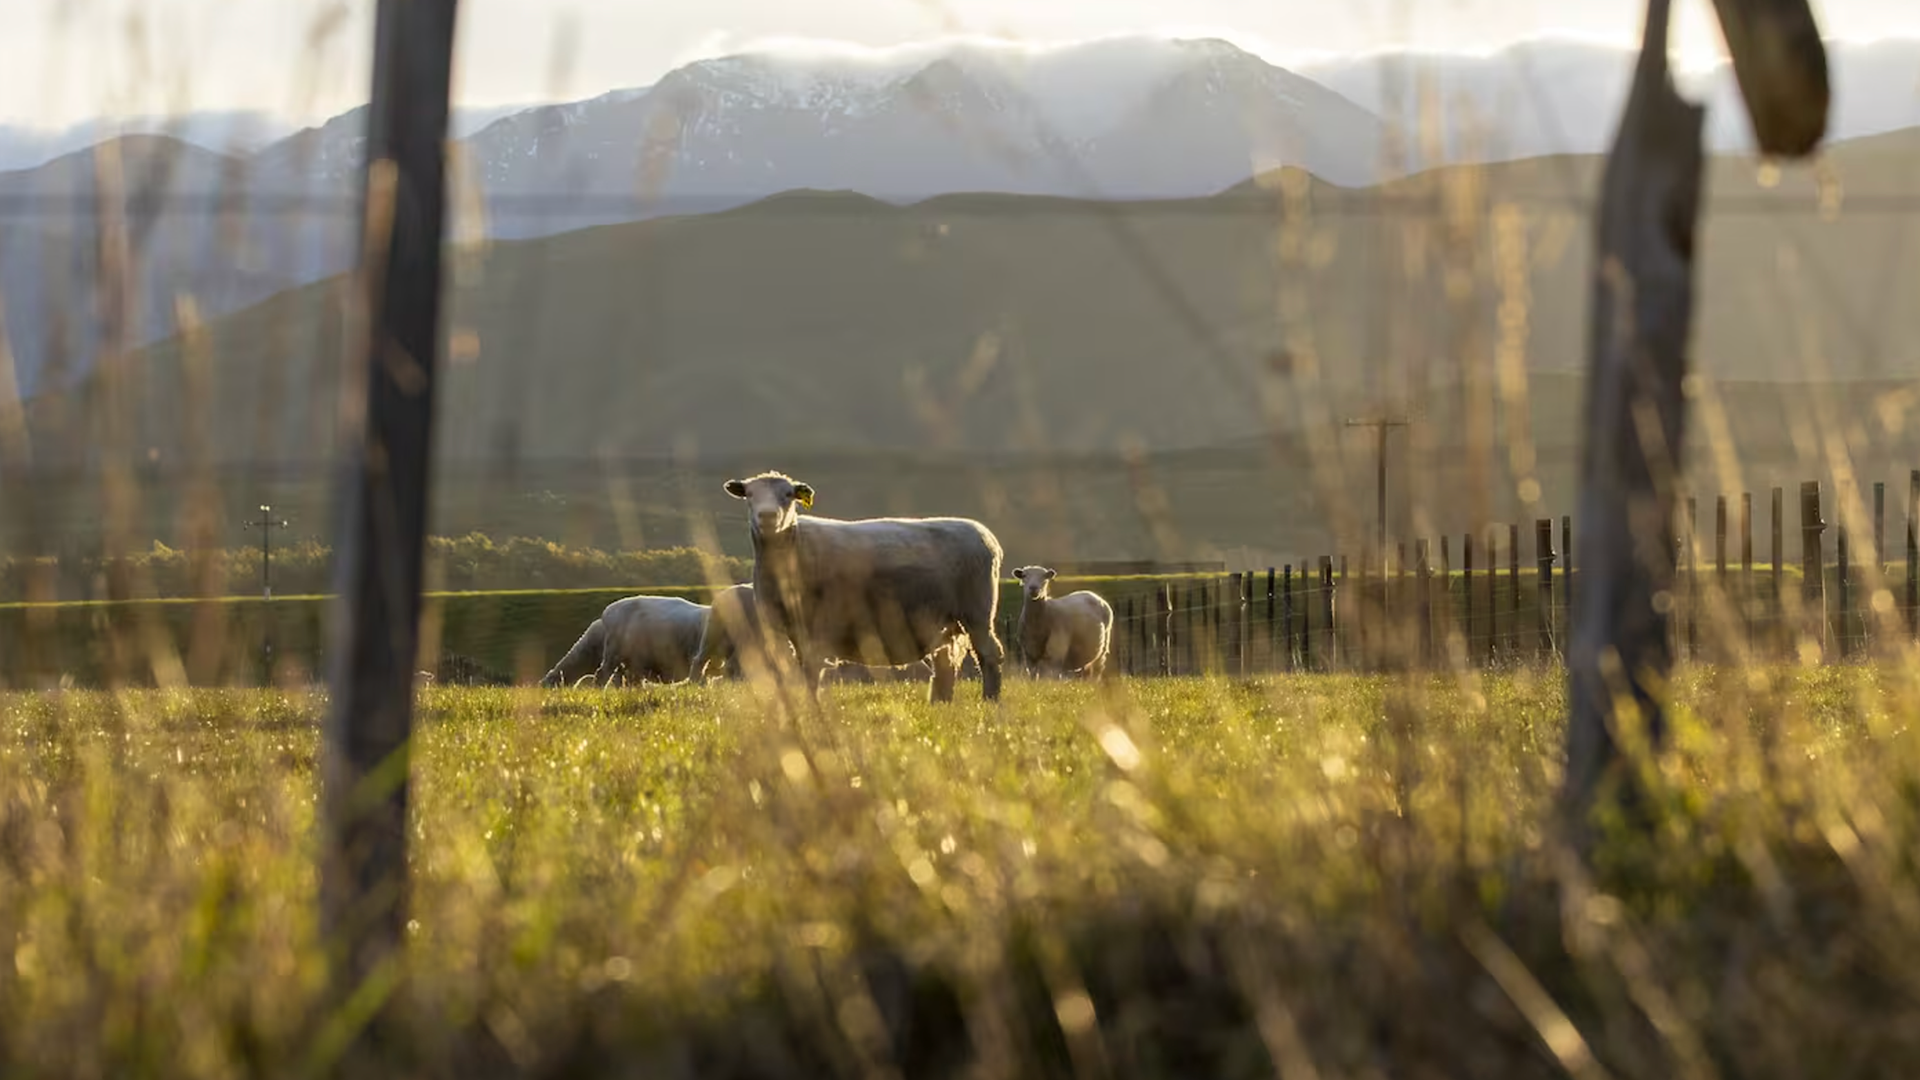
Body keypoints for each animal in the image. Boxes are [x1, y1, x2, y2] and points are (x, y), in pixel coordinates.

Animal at [723, 471, 1006, 703]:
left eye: (788, 495)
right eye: (749, 495)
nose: (767, 516)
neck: (794, 546)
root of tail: (986, 536)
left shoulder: (821, 621)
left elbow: (812, 669)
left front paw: (813, 708)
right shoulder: (789, 625)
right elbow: (799, 669)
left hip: (977, 612)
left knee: (989, 654)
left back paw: (989, 700)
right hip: (943, 621)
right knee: (946, 664)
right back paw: (940, 703)